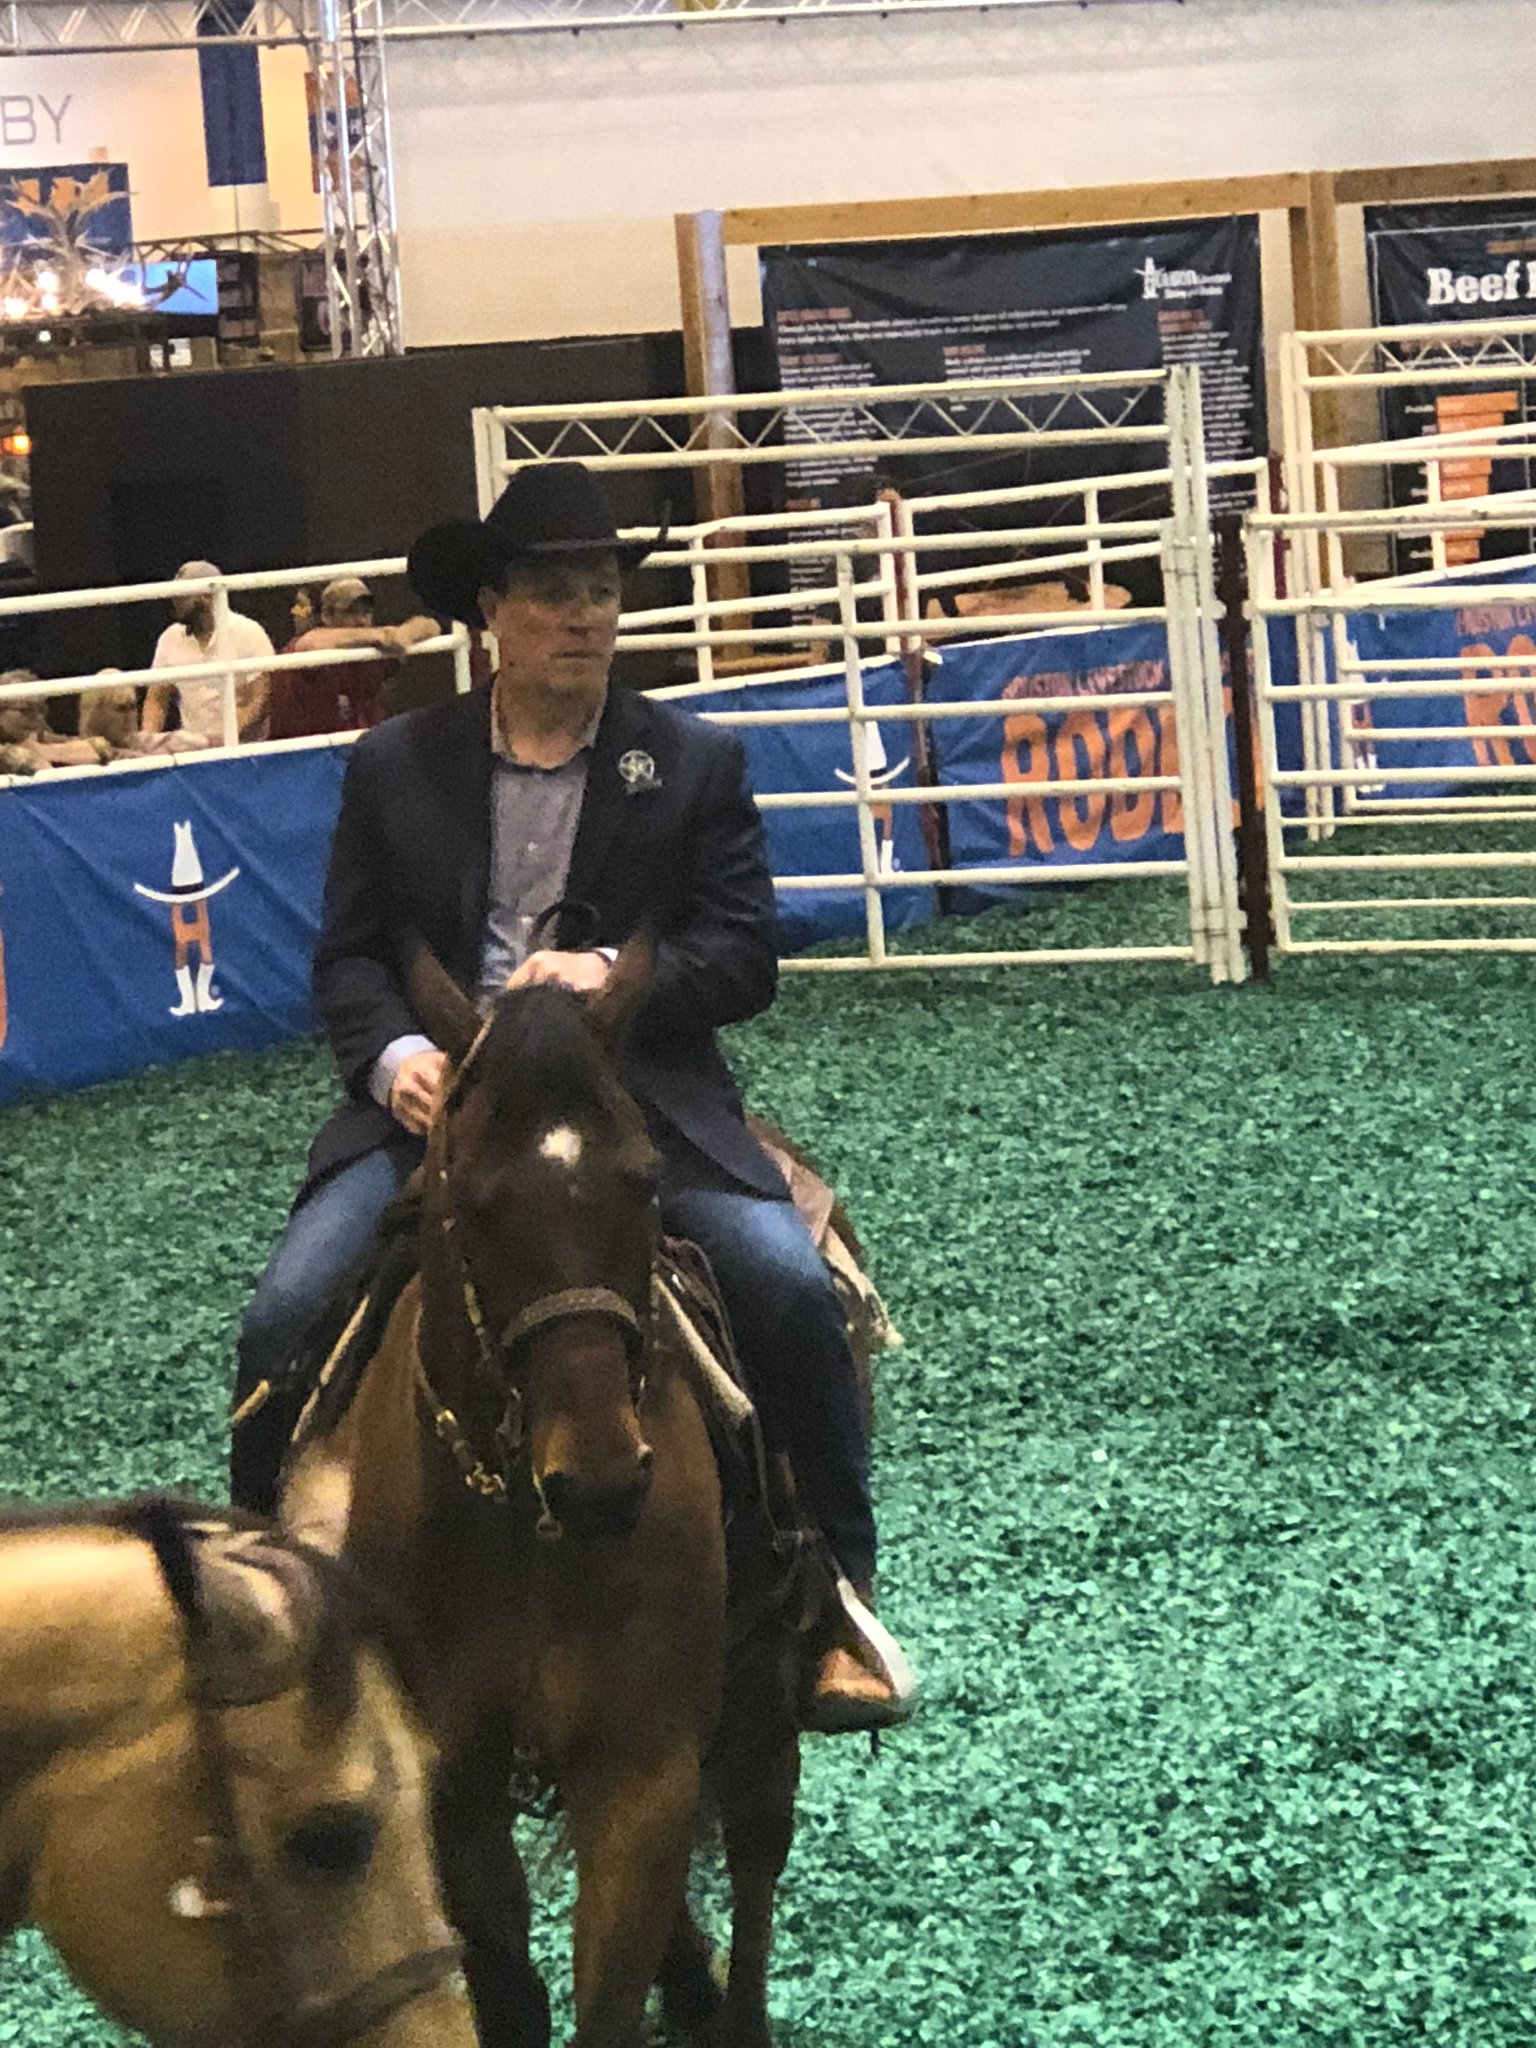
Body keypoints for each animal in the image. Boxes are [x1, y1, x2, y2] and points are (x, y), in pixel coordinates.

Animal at [280, 942, 805, 2048]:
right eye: (472, 1196)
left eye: (645, 1177)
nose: (602, 1478)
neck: (521, 1530)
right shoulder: (452, 1791)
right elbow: (510, 1990)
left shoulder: (643, 1771)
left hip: (763, 1684)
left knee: (755, 1853)